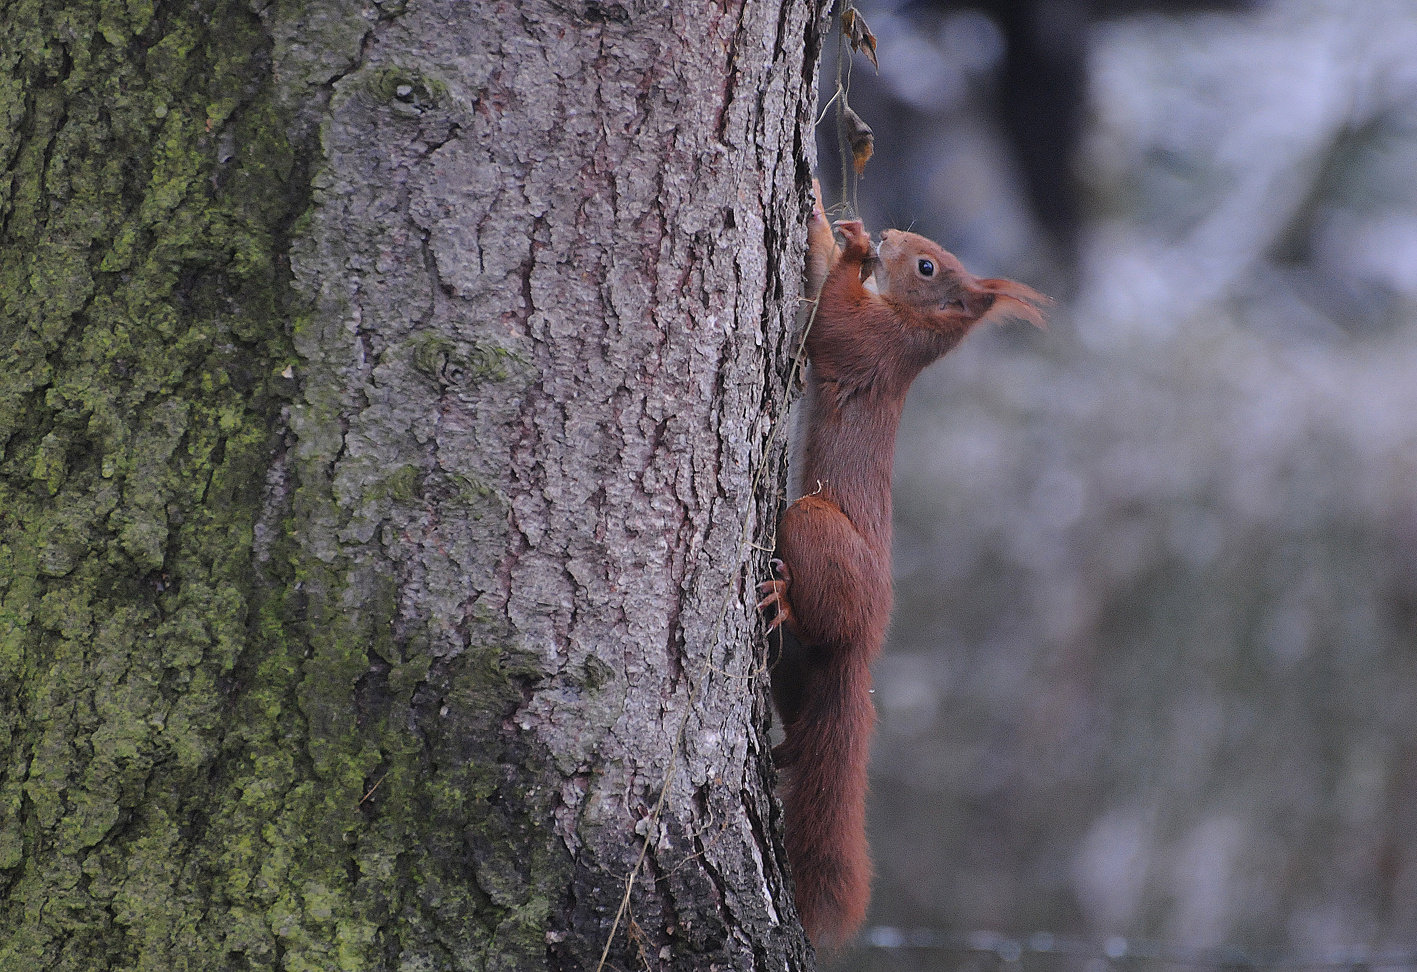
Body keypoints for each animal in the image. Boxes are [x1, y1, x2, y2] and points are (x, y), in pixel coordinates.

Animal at [759, 194, 1048, 946]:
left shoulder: (867, 343)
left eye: (926, 267)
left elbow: (830, 312)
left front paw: (841, 236)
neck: (914, 334)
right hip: (796, 674)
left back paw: (781, 595)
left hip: (813, 528)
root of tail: (863, 647)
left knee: (812, 606)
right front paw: (834, 218)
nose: (888, 233)